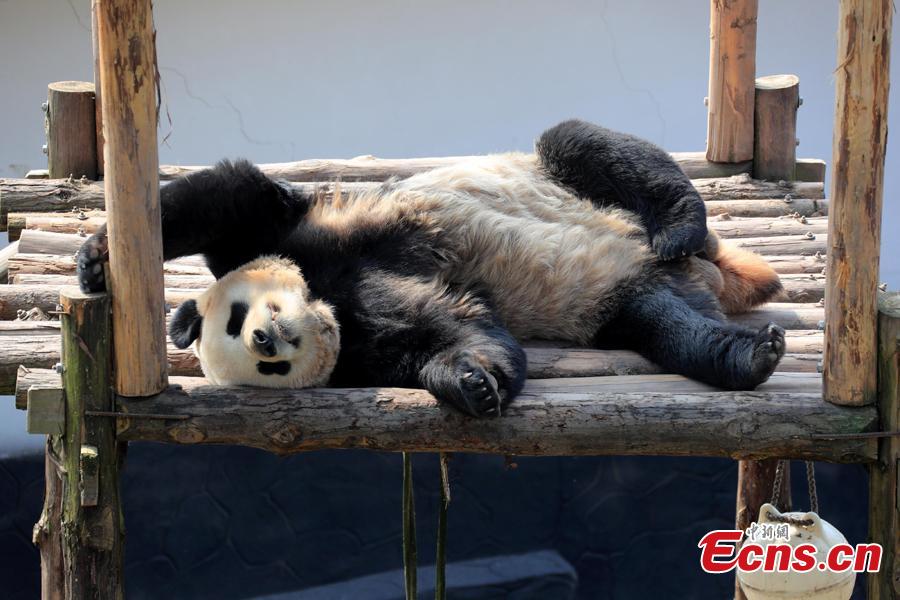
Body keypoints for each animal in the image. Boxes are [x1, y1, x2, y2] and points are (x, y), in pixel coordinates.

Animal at [79, 119, 780, 414]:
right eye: (265, 368)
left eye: (239, 317)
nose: (266, 338)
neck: (327, 298)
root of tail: (704, 270)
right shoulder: (365, 346)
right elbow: (451, 332)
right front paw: (470, 383)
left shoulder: (292, 233)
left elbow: (226, 199)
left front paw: (98, 259)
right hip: (619, 300)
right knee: (664, 325)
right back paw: (745, 355)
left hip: (565, 178)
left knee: (592, 147)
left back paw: (677, 226)